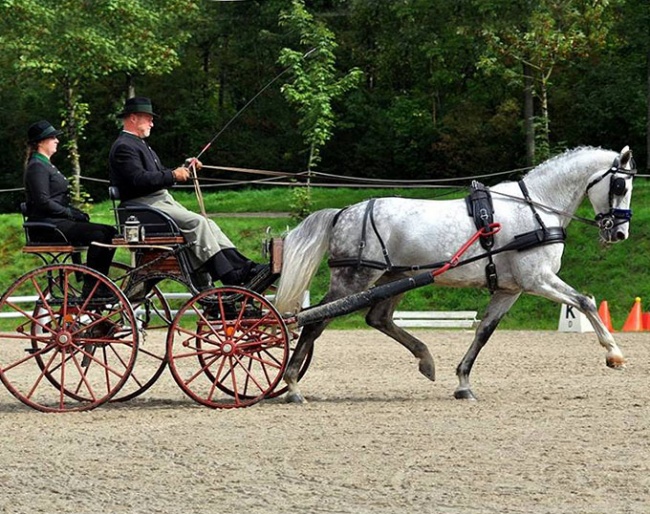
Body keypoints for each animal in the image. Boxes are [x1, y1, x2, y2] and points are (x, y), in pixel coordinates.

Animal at [274, 144, 632, 400]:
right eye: (619, 185)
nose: (619, 233)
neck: (536, 208)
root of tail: (344, 212)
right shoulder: (538, 279)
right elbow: (584, 302)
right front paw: (614, 354)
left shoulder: (510, 289)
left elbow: (484, 332)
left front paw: (463, 382)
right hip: (354, 279)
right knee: (314, 321)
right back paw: (291, 385)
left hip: (394, 278)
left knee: (378, 318)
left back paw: (426, 360)